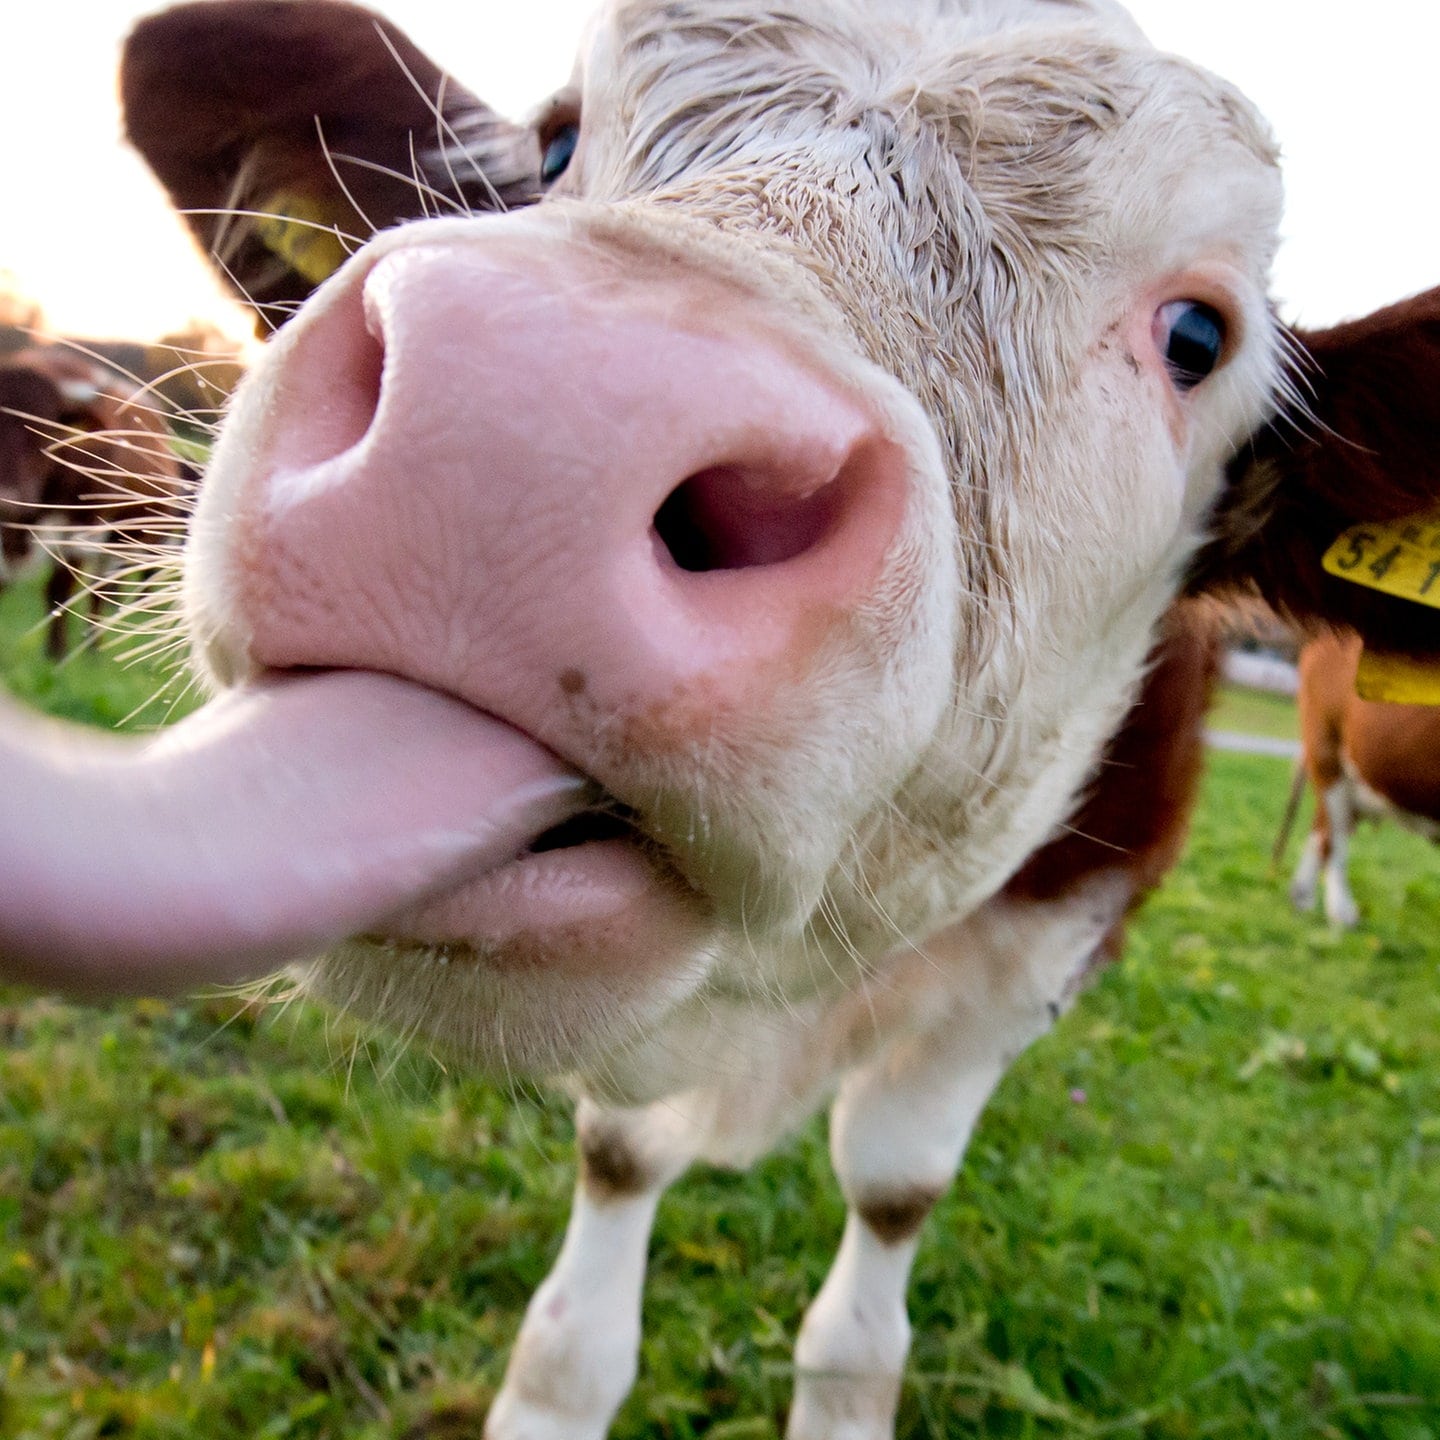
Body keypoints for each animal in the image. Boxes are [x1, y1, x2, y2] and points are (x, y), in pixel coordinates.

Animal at [0, 346, 195, 656]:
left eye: (44, 433)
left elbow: (59, 590)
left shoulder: (77, 530)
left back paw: (92, 649)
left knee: (103, 589)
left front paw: (55, 655)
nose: (8, 499)